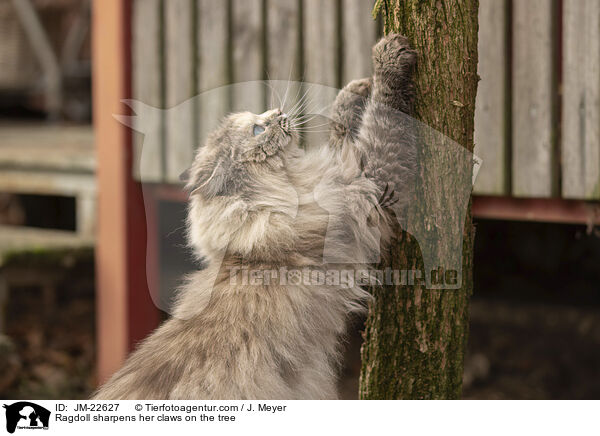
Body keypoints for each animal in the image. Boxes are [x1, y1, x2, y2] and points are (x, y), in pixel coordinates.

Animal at [95, 34, 418, 400]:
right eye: (257, 129)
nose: (279, 111)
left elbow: (342, 130)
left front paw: (356, 88)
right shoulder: (370, 179)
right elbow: (383, 115)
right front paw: (387, 57)